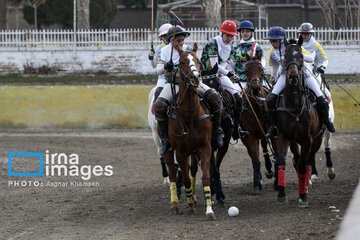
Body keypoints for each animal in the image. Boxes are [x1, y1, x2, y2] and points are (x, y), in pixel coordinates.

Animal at [164, 43, 217, 219]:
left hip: (194, 152)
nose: (195, 78)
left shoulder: (205, 147)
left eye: (198, 60)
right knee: (172, 173)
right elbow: (185, 179)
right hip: (167, 148)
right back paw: (175, 204)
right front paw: (189, 207)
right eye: (181, 62)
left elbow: (205, 177)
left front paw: (209, 210)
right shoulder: (180, 151)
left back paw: (193, 196)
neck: (190, 114)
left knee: (193, 170)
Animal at [239, 56, 278, 193]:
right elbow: (255, 159)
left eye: (261, 70)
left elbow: (278, 154)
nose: (255, 88)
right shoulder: (250, 136)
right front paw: (257, 183)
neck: (258, 108)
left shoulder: (274, 133)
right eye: (246, 70)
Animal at [274, 37, 324, 206]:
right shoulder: (283, 136)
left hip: (317, 139)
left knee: (308, 160)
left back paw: (306, 184)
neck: (295, 104)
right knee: (297, 159)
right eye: (285, 56)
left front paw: (303, 196)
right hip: (294, 141)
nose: (293, 77)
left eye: (301, 56)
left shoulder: (308, 139)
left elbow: (303, 165)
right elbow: (282, 160)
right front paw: (281, 193)